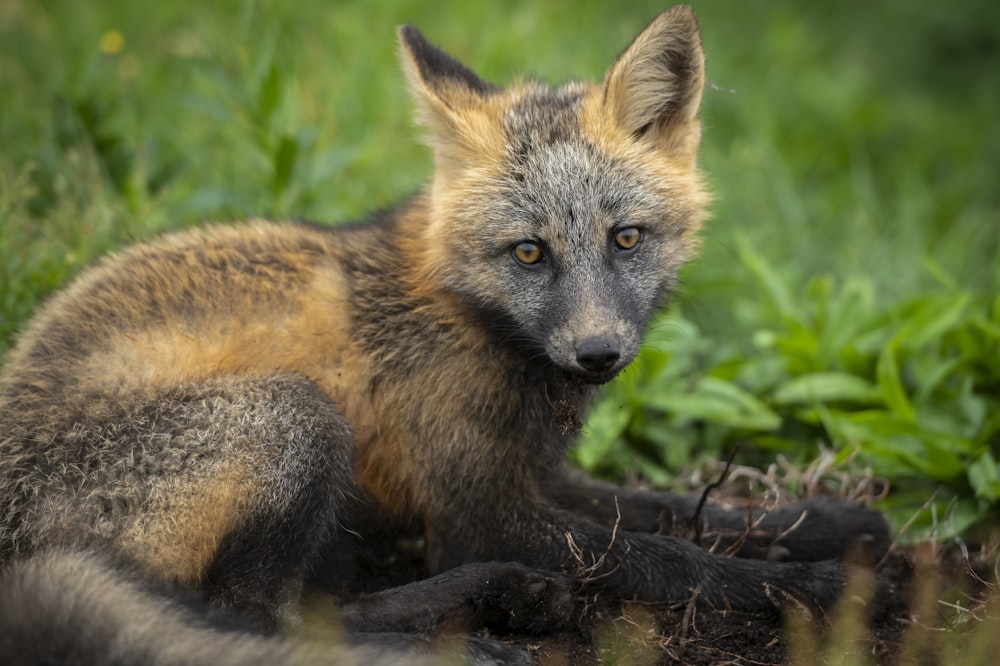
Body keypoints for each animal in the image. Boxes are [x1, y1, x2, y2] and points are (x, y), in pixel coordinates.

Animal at [1, 6, 892, 664]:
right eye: (529, 251)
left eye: (626, 239)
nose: (598, 354)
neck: (474, 321)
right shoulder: (480, 510)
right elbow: (672, 558)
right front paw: (826, 589)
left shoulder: (529, 469)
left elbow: (674, 510)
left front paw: (827, 523)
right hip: (297, 415)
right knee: (266, 620)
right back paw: (474, 632)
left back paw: (508, 601)